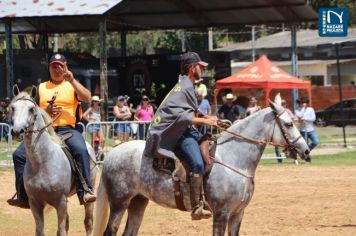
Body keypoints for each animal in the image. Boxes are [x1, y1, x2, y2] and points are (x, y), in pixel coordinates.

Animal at [10, 87, 96, 235]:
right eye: (13, 107)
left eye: (31, 109)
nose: (17, 131)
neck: (42, 163)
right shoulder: (35, 203)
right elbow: (40, 231)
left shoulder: (60, 202)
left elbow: (61, 231)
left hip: (88, 198)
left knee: (88, 223)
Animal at [93, 93, 310, 234]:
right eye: (289, 124)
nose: (306, 151)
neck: (234, 159)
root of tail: (112, 154)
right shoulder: (221, 214)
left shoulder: (238, 214)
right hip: (119, 203)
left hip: (138, 201)